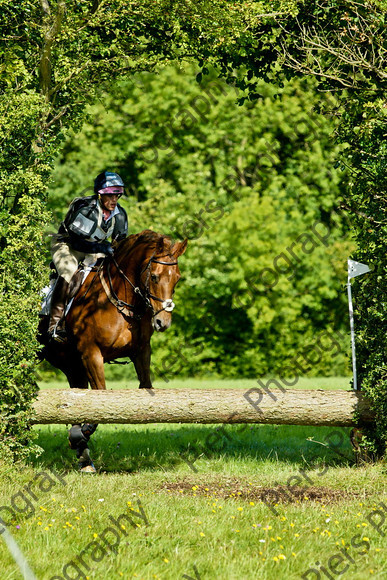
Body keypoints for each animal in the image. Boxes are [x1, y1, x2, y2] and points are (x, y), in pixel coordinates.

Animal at [38, 231, 188, 472]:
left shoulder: (141, 352)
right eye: (155, 277)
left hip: (71, 365)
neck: (120, 301)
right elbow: (99, 401)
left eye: (178, 278)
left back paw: (84, 458)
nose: (162, 323)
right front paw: (79, 435)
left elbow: (144, 386)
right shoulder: (91, 354)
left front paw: (77, 437)